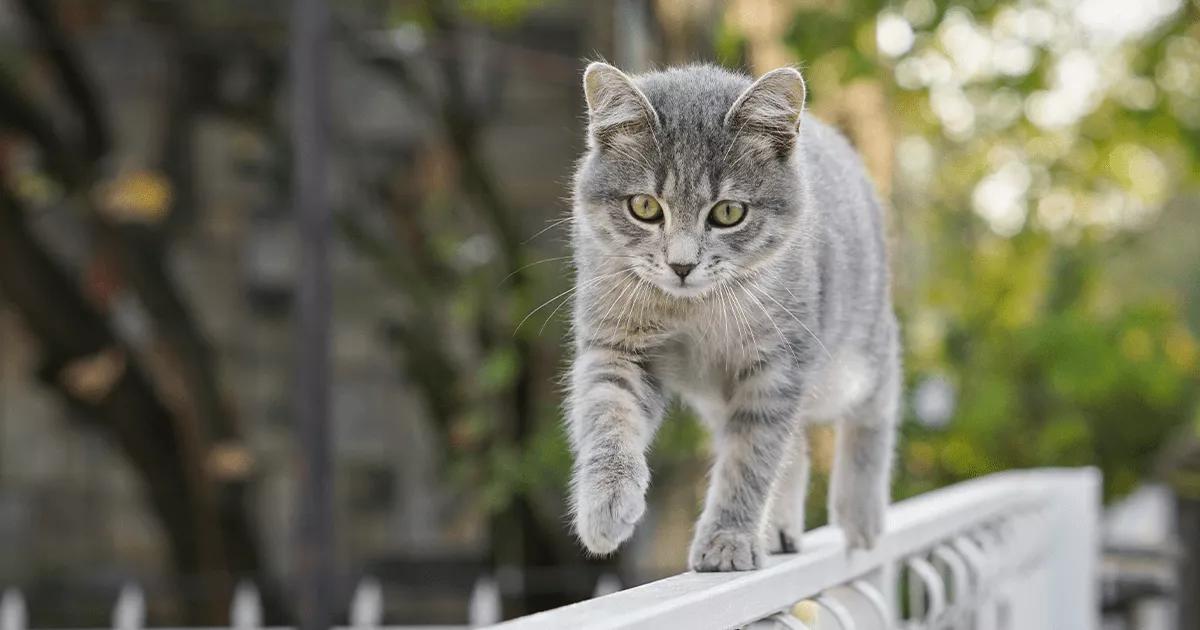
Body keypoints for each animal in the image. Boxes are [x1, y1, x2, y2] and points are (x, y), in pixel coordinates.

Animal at [564, 62, 902, 568]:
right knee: (796, 449)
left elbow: (750, 460)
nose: (681, 265)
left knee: (878, 401)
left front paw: (728, 539)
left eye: (727, 212)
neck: (692, 310)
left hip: (854, 358)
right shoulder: (617, 346)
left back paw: (860, 513)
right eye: (644, 207)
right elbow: (607, 415)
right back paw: (780, 528)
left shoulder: (777, 368)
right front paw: (605, 505)